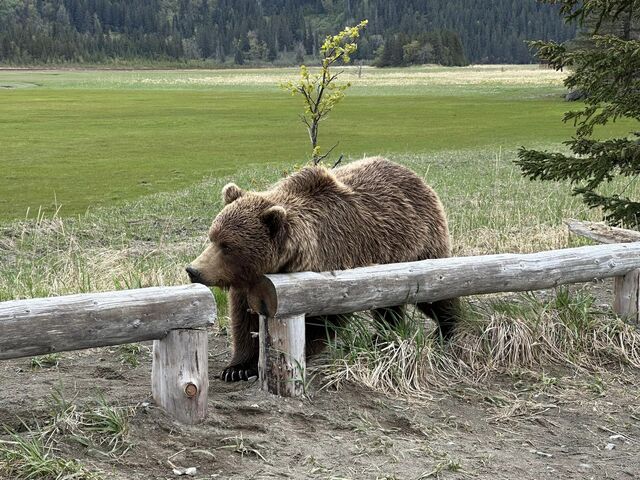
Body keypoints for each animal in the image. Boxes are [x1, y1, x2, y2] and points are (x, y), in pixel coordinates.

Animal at [186, 158, 460, 382]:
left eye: (228, 246)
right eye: (212, 237)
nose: (193, 270)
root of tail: (419, 179)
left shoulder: (333, 270)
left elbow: (324, 321)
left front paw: (289, 356)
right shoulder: (249, 283)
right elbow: (244, 319)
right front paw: (237, 368)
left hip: (420, 247)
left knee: (435, 295)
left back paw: (448, 331)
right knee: (389, 306)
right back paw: (384, 337)